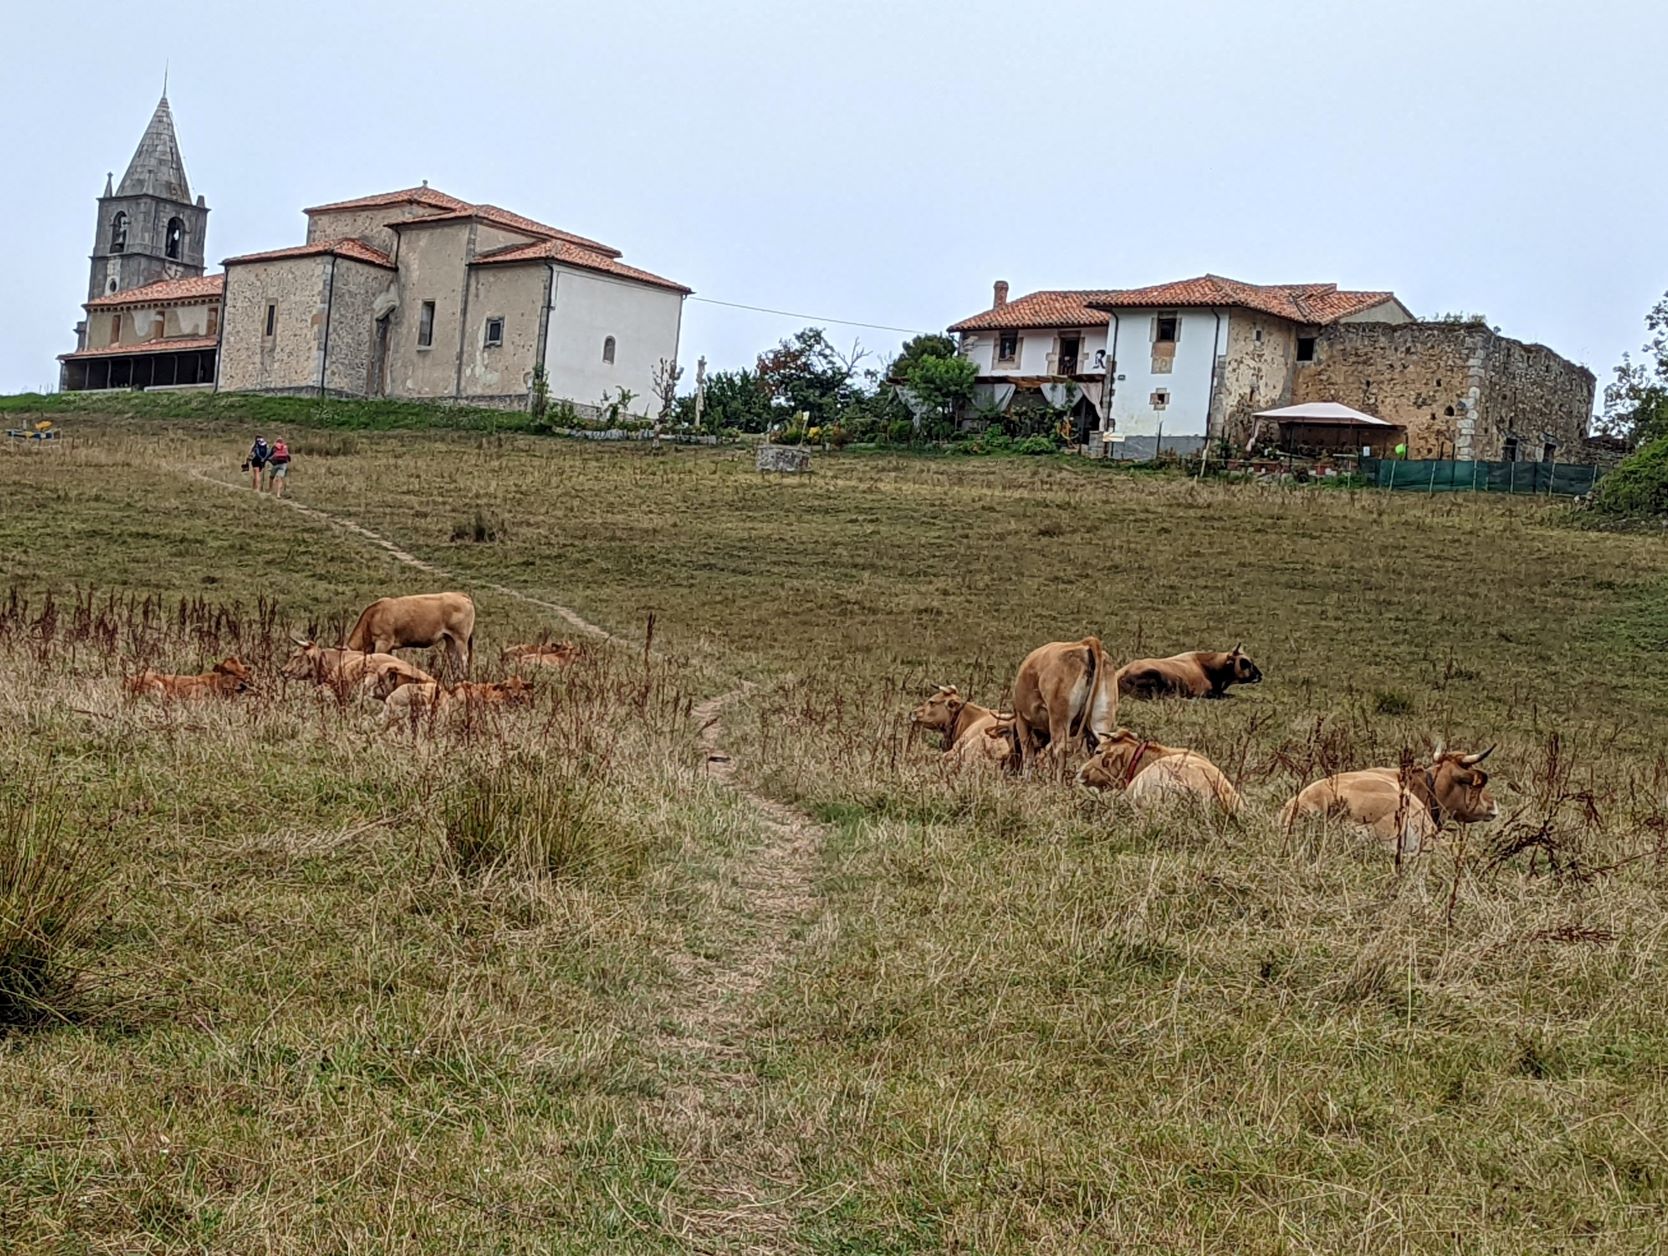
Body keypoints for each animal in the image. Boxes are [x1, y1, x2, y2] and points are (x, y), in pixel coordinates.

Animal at [345, 590, 477, 677]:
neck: (373, 616)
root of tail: (459, 594)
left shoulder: (383, 642)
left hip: (461, 638)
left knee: (463, 659)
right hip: (450, 638)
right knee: (454, 660)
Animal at [1000, 637, 1120, 773]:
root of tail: (1085, 643)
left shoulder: (1022, 720)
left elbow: (1027, 757)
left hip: (1059, 720)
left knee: (1060, 752)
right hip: (1100, 722)